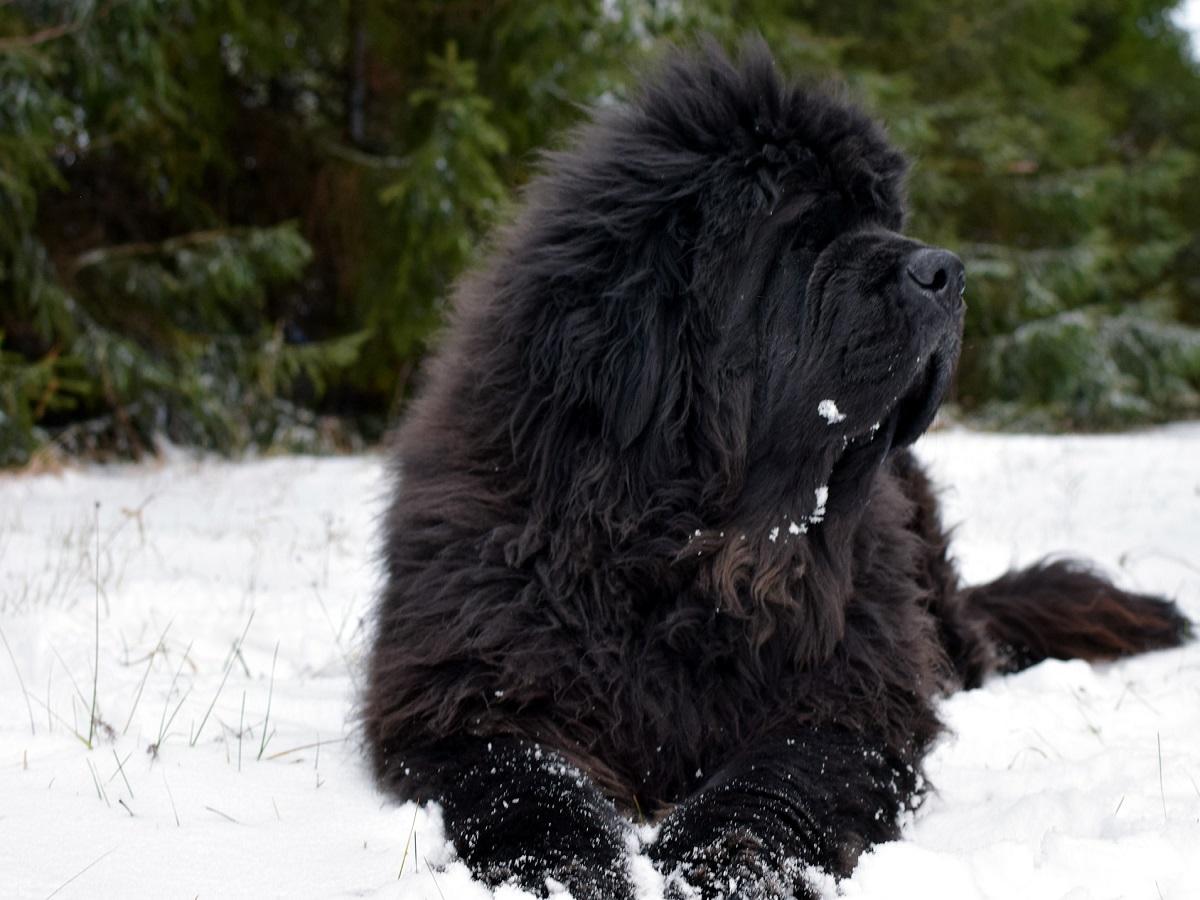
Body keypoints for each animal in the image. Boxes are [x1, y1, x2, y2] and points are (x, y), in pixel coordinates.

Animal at [357, 38, 1190, 897]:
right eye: (804, 237)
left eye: (885, 221)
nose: (947, 271)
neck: (691, 552)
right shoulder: (462, 685)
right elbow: (525, 780)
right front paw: (565, 873)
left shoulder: (848, 690)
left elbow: (776, 776)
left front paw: (723, 864)